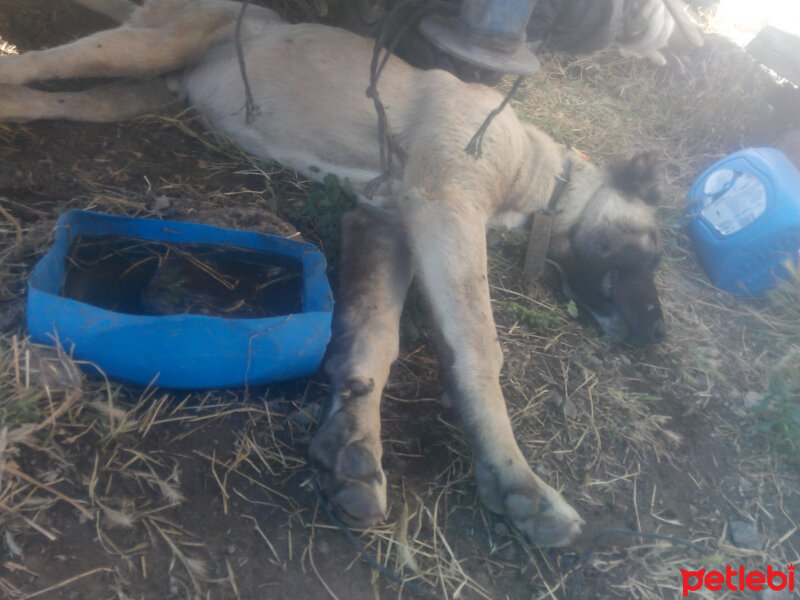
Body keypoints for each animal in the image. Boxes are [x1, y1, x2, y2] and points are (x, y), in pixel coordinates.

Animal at [0, 0, 668, 548]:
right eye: (656, 252)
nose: (659, 337)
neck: (545, 175)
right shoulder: (446, 206)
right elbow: (480, 346)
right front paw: (517, 479)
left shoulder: (385, 224)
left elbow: (373, 335)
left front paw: (353, 441)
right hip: (144, 45)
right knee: (30, 65)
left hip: (133, 90)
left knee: (41, 95)